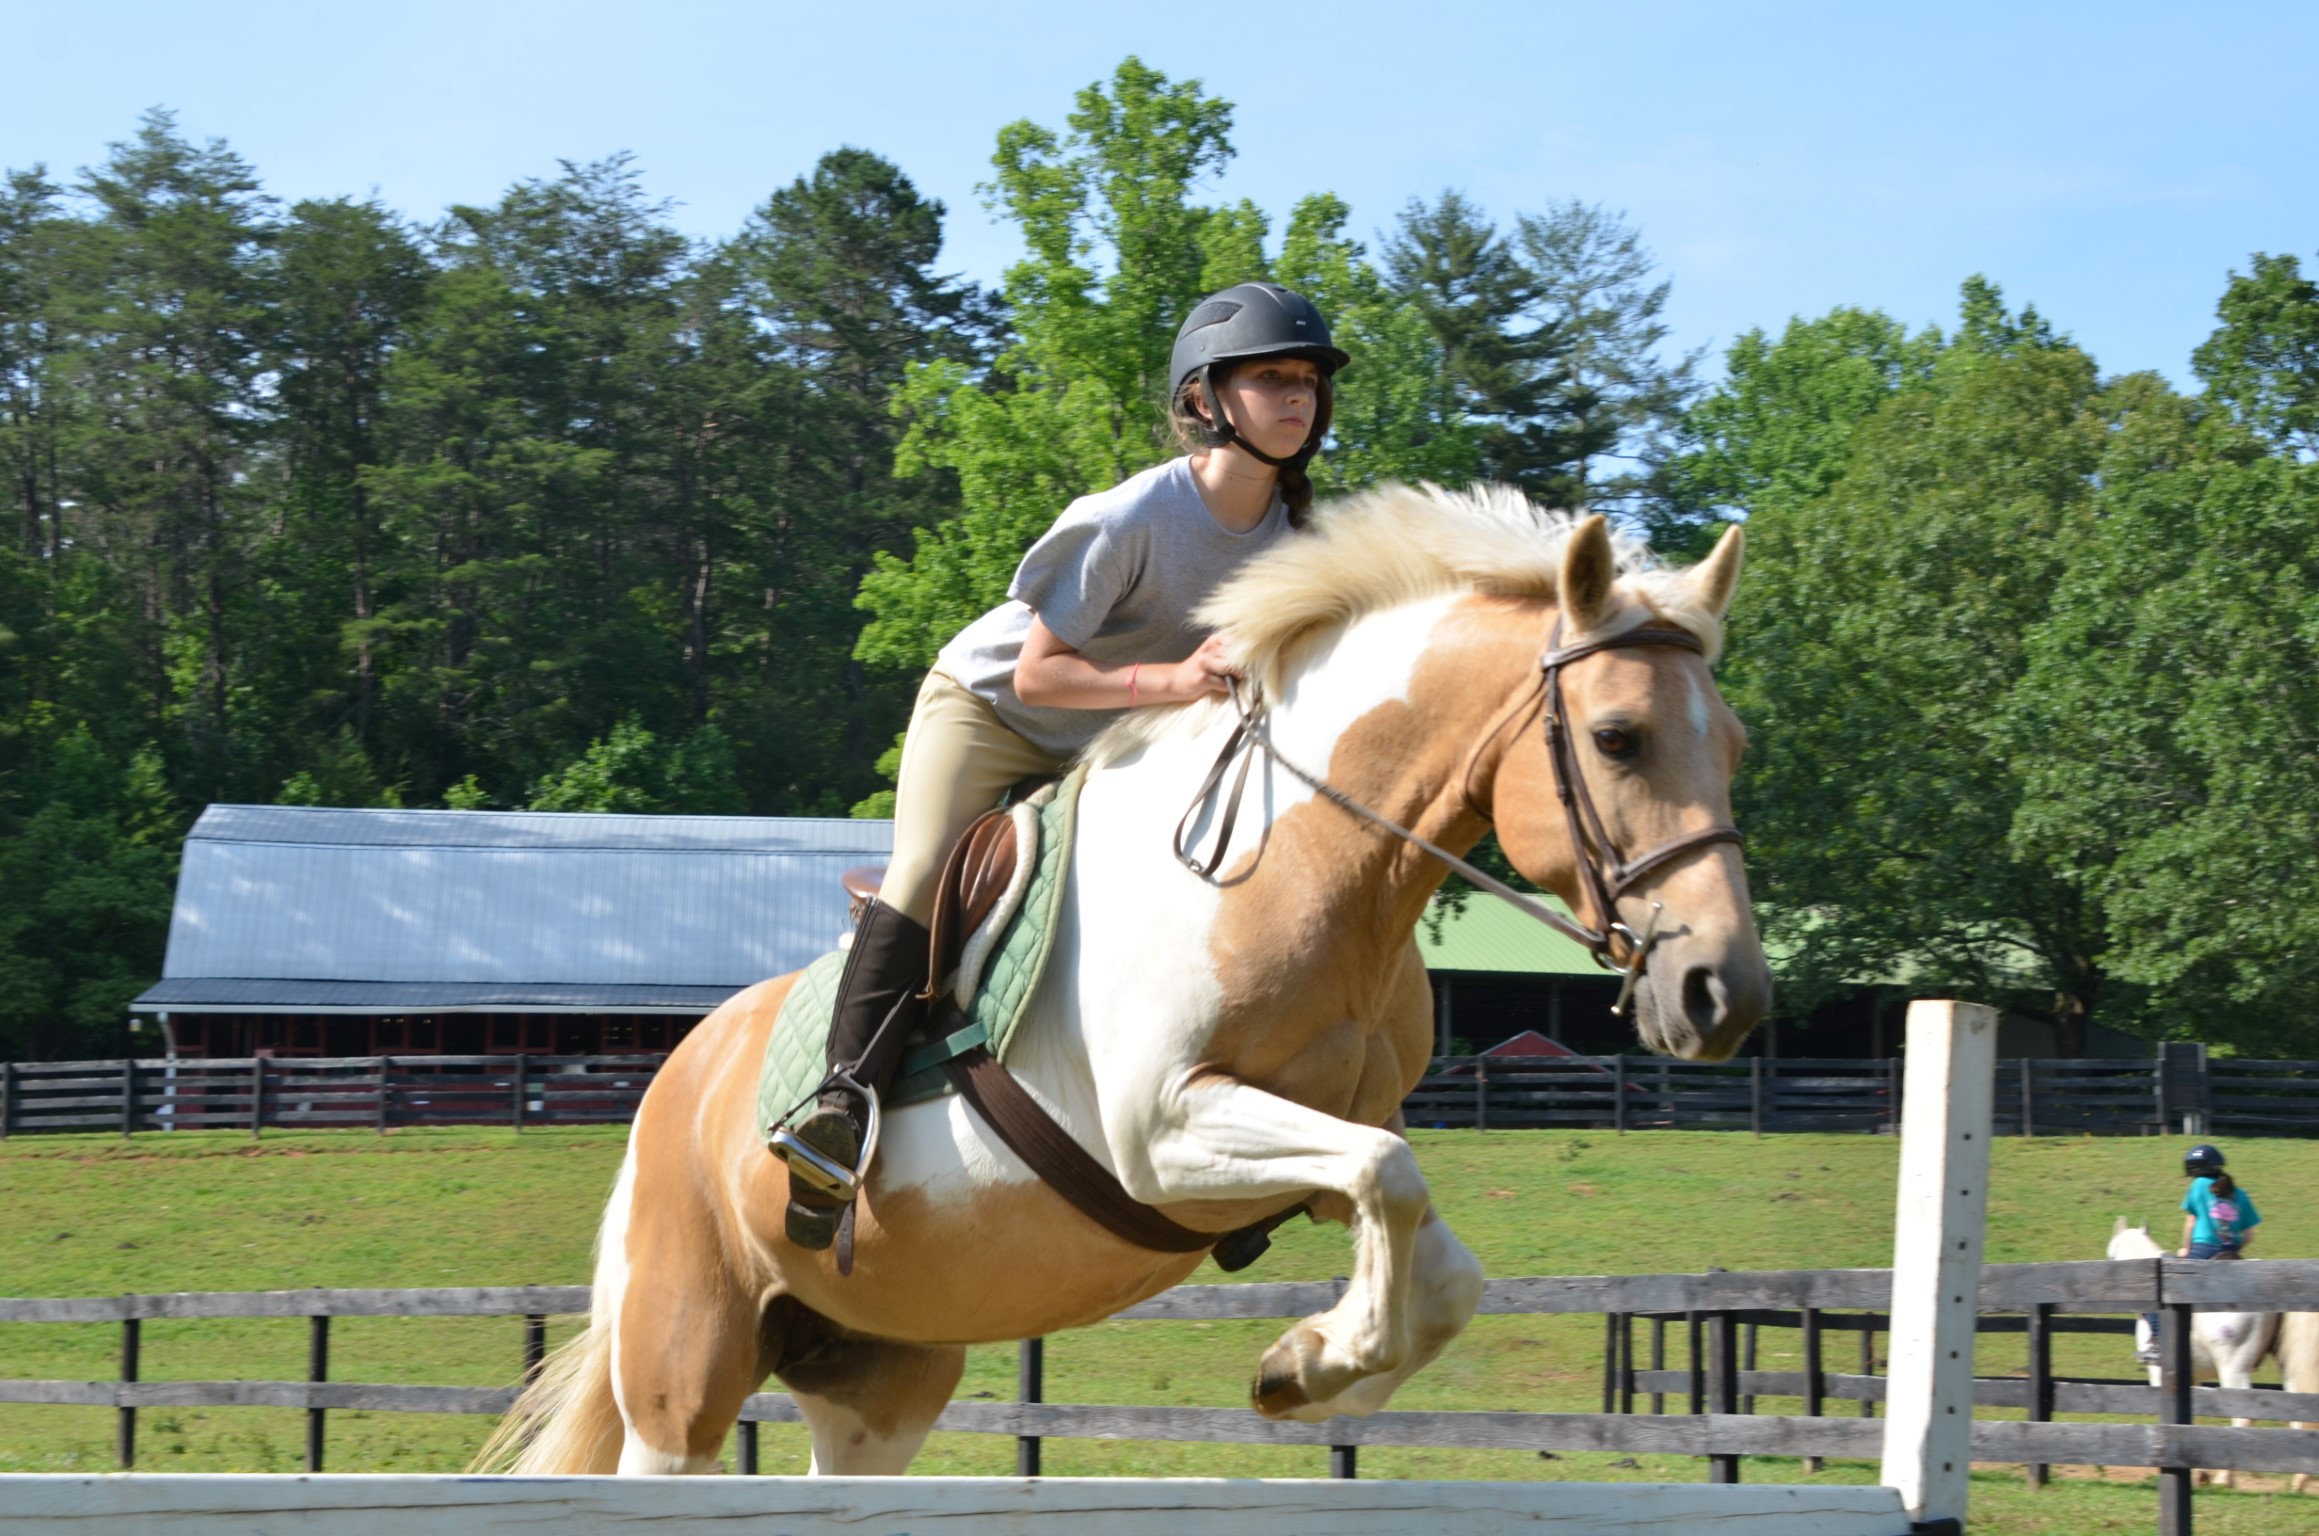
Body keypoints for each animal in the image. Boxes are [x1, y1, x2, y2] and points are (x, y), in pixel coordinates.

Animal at [480, 489, 1762, 1484]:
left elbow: (1435, 1259)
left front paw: (1306, 1369)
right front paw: (1318, 1360)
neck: (1302, 860)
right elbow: (1388, 1180)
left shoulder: (1321, 1133)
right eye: (1617, 737)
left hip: (877, 1374)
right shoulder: (1164, 1135)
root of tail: (678, 1080)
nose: (1724, 994)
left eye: (1734, 745)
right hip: (682, 1372)